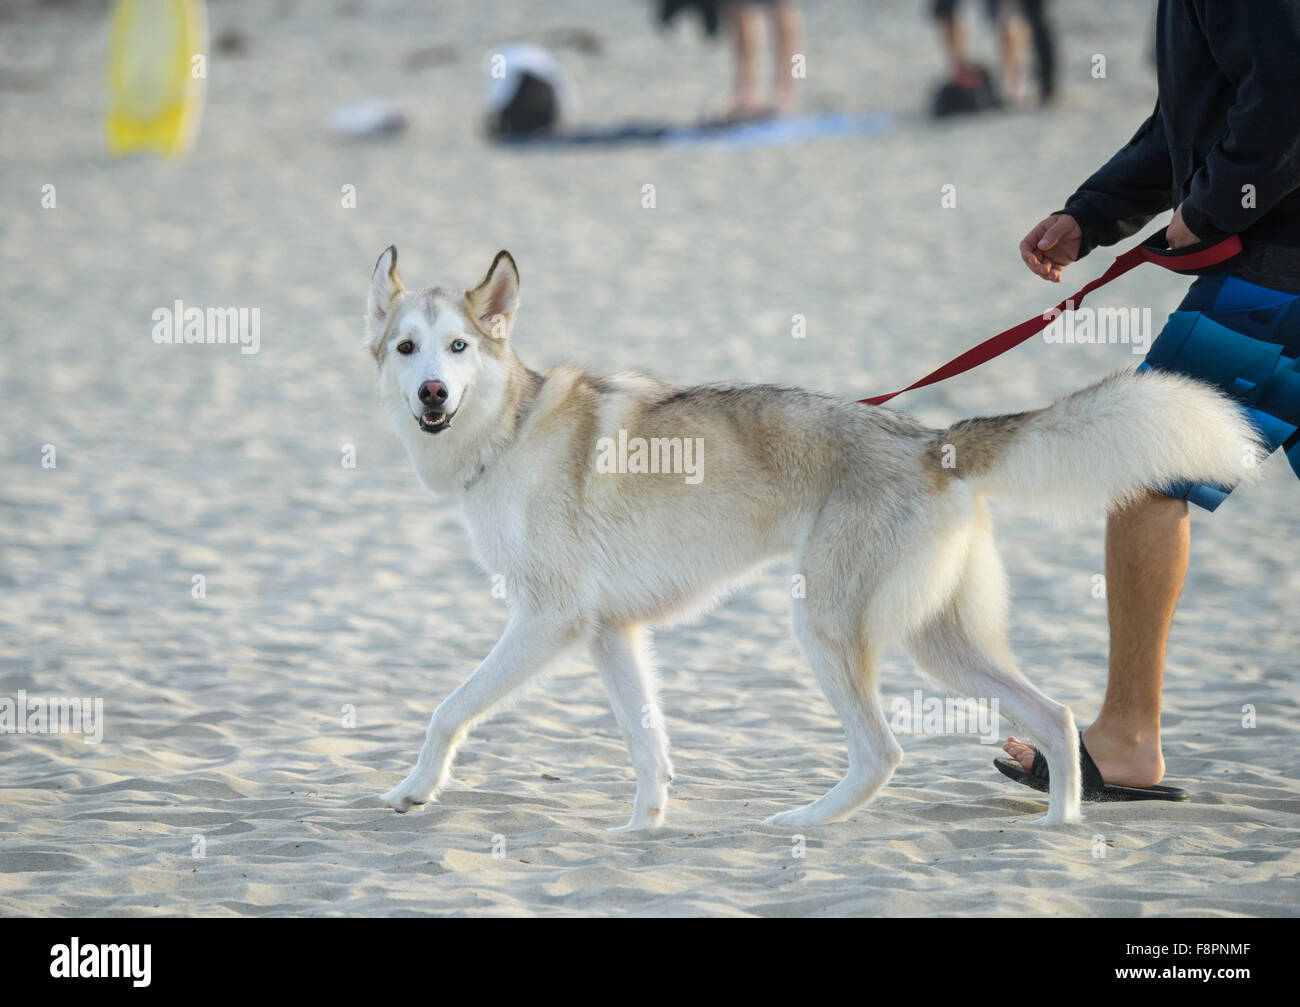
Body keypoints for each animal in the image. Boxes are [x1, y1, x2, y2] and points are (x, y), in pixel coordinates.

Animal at [366, 248, 1258, 831]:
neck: (508, 429)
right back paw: (1060, 828)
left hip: (823, 625)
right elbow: (646, 739)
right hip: (943, 643)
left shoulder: (545, 622)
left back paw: (804, 821)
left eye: (457, 347)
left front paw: (416, 788)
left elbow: (449, 709)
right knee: (1057, 716)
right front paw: (645, 824)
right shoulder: (608, 633)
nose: (433, 391)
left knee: (882, 752)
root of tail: (932, 441)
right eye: (406, 348)